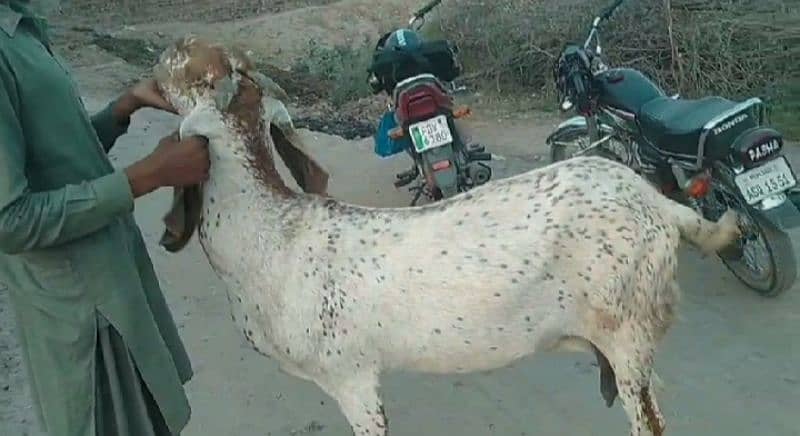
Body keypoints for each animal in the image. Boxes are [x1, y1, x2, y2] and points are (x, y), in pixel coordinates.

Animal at [153, 38, 740, 436]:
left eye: (197, 72)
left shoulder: (350, 376)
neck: (271, 232)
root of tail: (658, 205)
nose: (165, 54)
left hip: (627, 335)